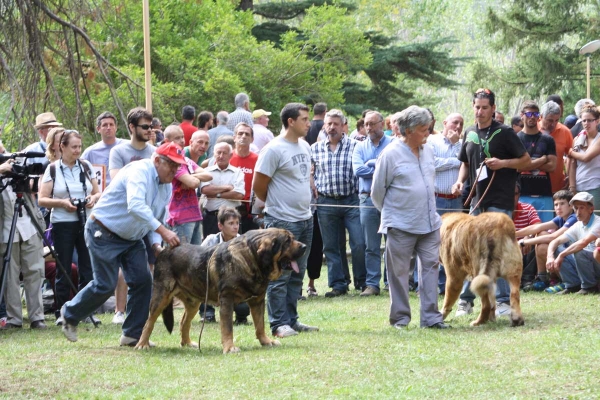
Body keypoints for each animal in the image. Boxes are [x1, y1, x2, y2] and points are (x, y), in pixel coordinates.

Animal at [134, 228, 308, 354]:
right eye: (287, 241)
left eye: (292, 238)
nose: (305, 246)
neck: (251, 258)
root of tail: (164, 250)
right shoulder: (227, 300)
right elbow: (227, 327)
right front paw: (230, 347)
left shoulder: (257, 300)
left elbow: (260, 325)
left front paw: (266, 341)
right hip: (161, 297)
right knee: (148, 322)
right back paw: (142, 344)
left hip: (193, 303)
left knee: (184, 322)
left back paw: (188, 343)